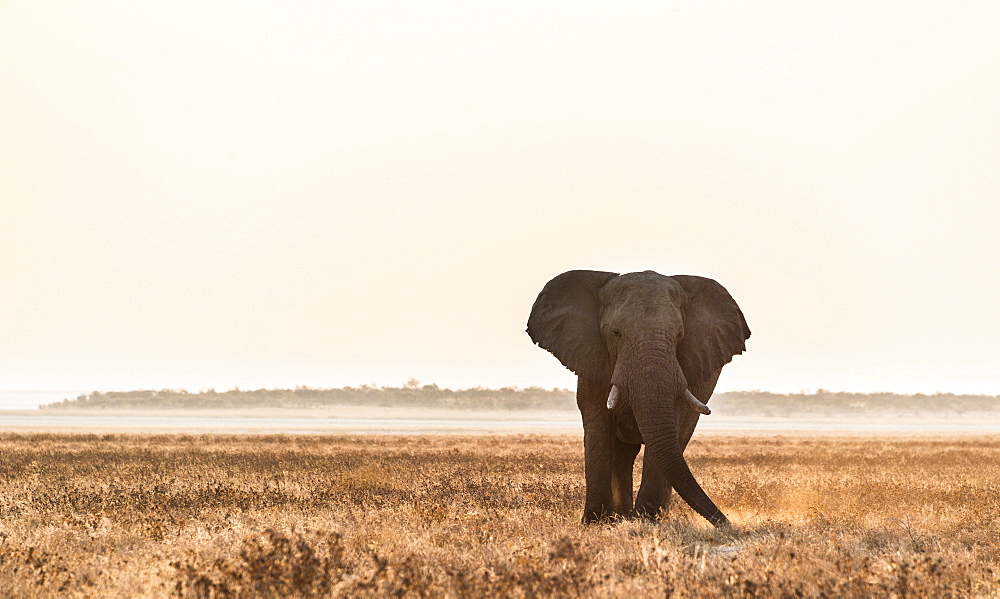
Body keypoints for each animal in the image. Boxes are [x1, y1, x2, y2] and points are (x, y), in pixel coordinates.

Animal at [528, 270, 748, 528]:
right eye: (616, 333)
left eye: (679, 335)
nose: (726, 524)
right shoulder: (591, 359)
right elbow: (599, 427)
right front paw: (594, 523)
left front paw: (646, 520)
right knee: (622, 454)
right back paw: (620, 517)